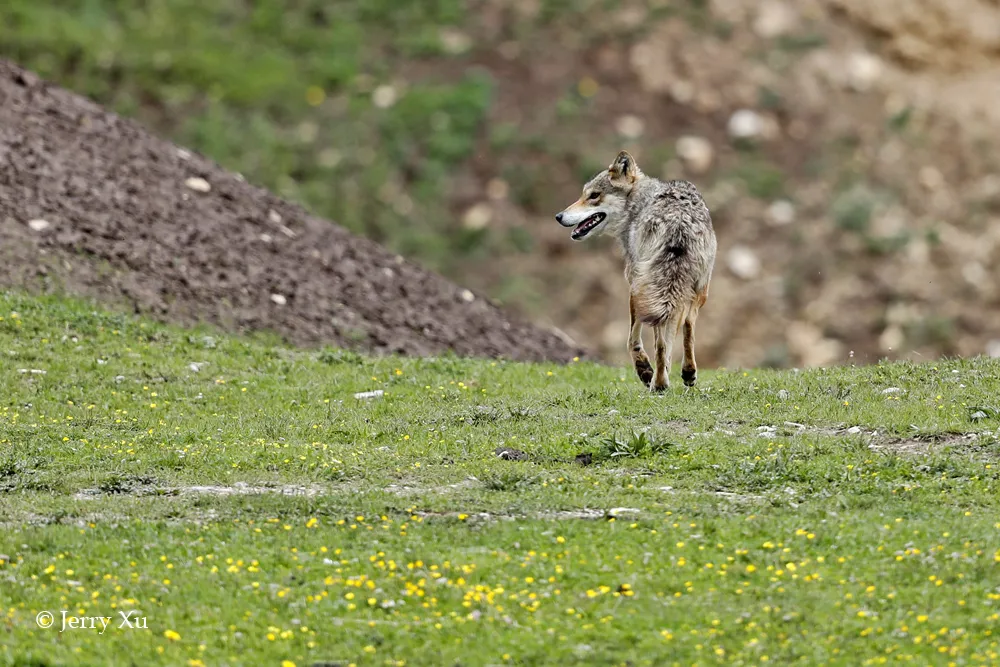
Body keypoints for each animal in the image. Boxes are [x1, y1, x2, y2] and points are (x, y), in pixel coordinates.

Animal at [560, 151, 716, 392]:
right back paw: (685, 374)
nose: (559, 216)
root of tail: (679, 222)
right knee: (686, 327)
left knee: (654, 339)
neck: (638, 203)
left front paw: (646, 371)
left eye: (593, 195)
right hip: (696, 290)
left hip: (641, 288)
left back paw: (657, 382)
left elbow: (636, 338)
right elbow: (674, 337)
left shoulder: (633, 283)